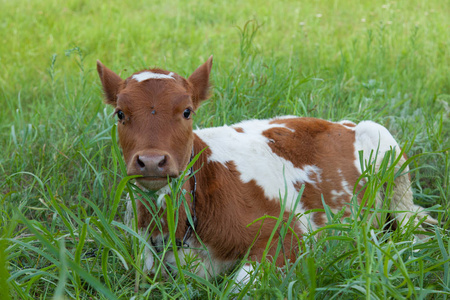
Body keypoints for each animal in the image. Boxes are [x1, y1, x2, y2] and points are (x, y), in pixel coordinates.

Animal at [96, 56, 436, 282]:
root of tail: (341, 122)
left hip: (389, 154)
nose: (152, 161)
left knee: (415, 225)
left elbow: (241, 284)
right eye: (120, 113)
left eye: (187, 111)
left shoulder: (291, 234)